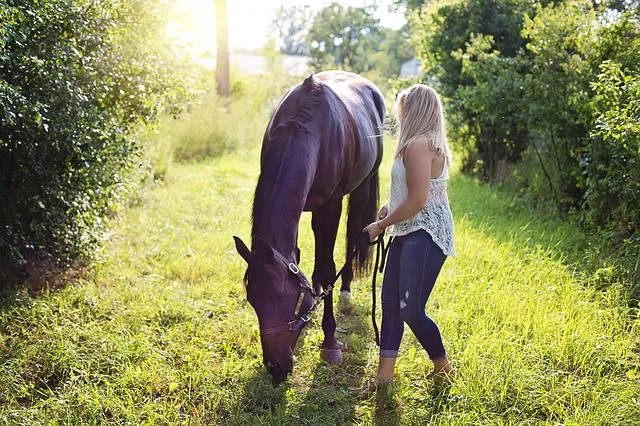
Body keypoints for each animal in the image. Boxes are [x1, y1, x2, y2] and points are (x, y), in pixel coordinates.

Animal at [233, 70, 385, 384]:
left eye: (280, 297)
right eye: (252, 299)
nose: (275, 368)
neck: (308, 127)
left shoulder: (331, 206)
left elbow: (328, 268)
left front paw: (330, 342)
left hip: (362, 186)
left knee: (353, 235)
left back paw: (345, 289)